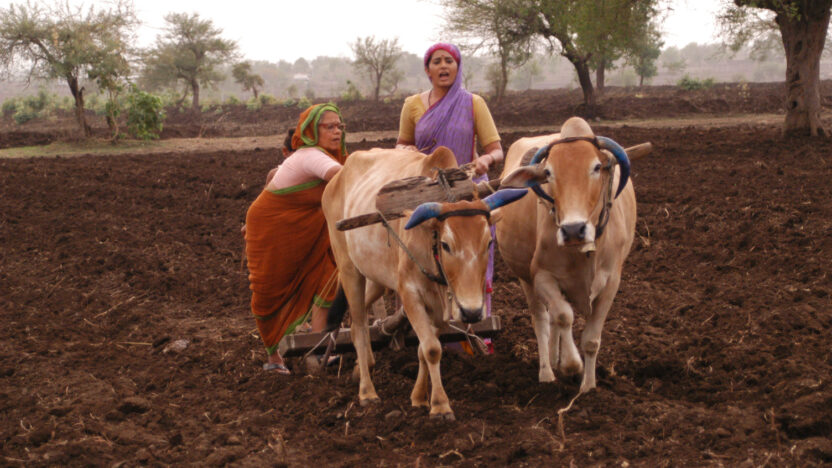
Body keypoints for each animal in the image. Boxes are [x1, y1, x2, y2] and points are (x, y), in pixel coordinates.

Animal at [322, 146, 527, 420]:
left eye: (489, 243)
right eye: (446, 244)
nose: (472, 312)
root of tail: (337, 178)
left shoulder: (439, 308)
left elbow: (424, 348)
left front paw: (419, 397)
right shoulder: (410, 293)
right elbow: (431, 349)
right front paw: (440, 405)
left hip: (375, 278)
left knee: (359, 322)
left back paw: (363, 367)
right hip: (349, 269)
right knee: (359, 328)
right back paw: (367, 392)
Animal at [496, 117, 636, 394]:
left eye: (596, 167)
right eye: (548, 173)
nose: (573, 229)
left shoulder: (611, 283)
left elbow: (591, 339)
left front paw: (588, 387)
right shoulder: (541, 276)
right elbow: (563, 316)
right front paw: (571, 365)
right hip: (525, 279)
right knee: (542, 320)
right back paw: (547, 371)